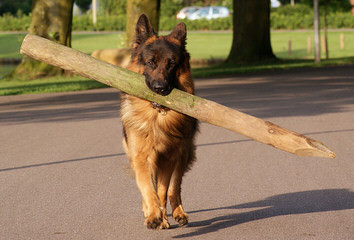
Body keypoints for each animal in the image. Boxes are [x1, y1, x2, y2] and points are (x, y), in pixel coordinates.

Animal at [120, 14, 198, 229]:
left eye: (171, 64)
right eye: (151, 62)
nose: (160, 88)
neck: (157, 117)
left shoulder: (170, 158)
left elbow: (165, 190)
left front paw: (161, 215)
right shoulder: (141, 158)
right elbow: (148, 189)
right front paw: (153, 214)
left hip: (184, 154)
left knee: (174, 189)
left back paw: (176, 213)